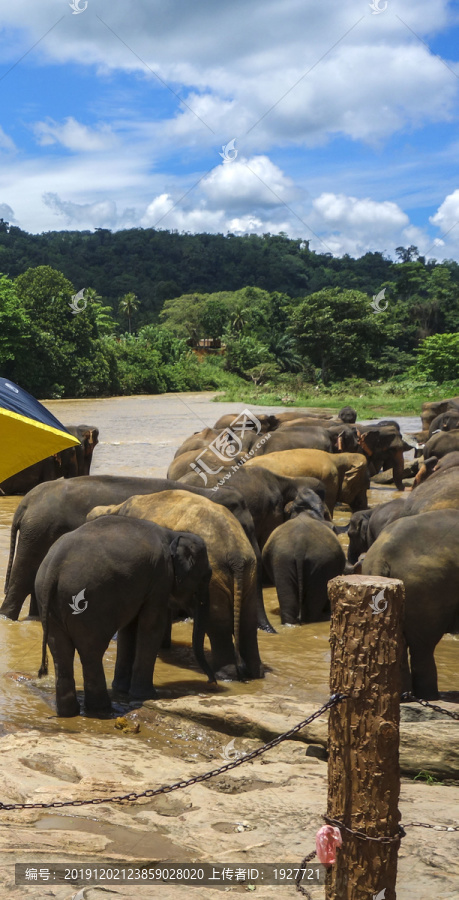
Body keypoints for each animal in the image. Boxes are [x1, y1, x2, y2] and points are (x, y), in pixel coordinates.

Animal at [35, 512, 214, 716]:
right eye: (206, 576)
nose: (212, 682)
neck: (173, 534)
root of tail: (54, 565)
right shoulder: (160, 577)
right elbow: (152, 625)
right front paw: (148, 696)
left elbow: (129, 628)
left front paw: (122, 689)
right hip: (90, 603)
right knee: (91, 651)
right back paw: (103, 710)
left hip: (48, 603)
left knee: (60, 651)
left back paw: (69, 712)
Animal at [88, 492, 264, 684]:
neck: (115, 507)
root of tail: (237, 557)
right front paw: (163, 647)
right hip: (249, 574)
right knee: (248, 622)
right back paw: (256, 674)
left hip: (217, 579)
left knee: (218, 624)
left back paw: (226, 676)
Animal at [362, 510, 459, 700]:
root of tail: (380, 555)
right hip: (427, 589)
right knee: (423, 647)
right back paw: (429, 696)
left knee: (399, 644)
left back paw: (404, 695)